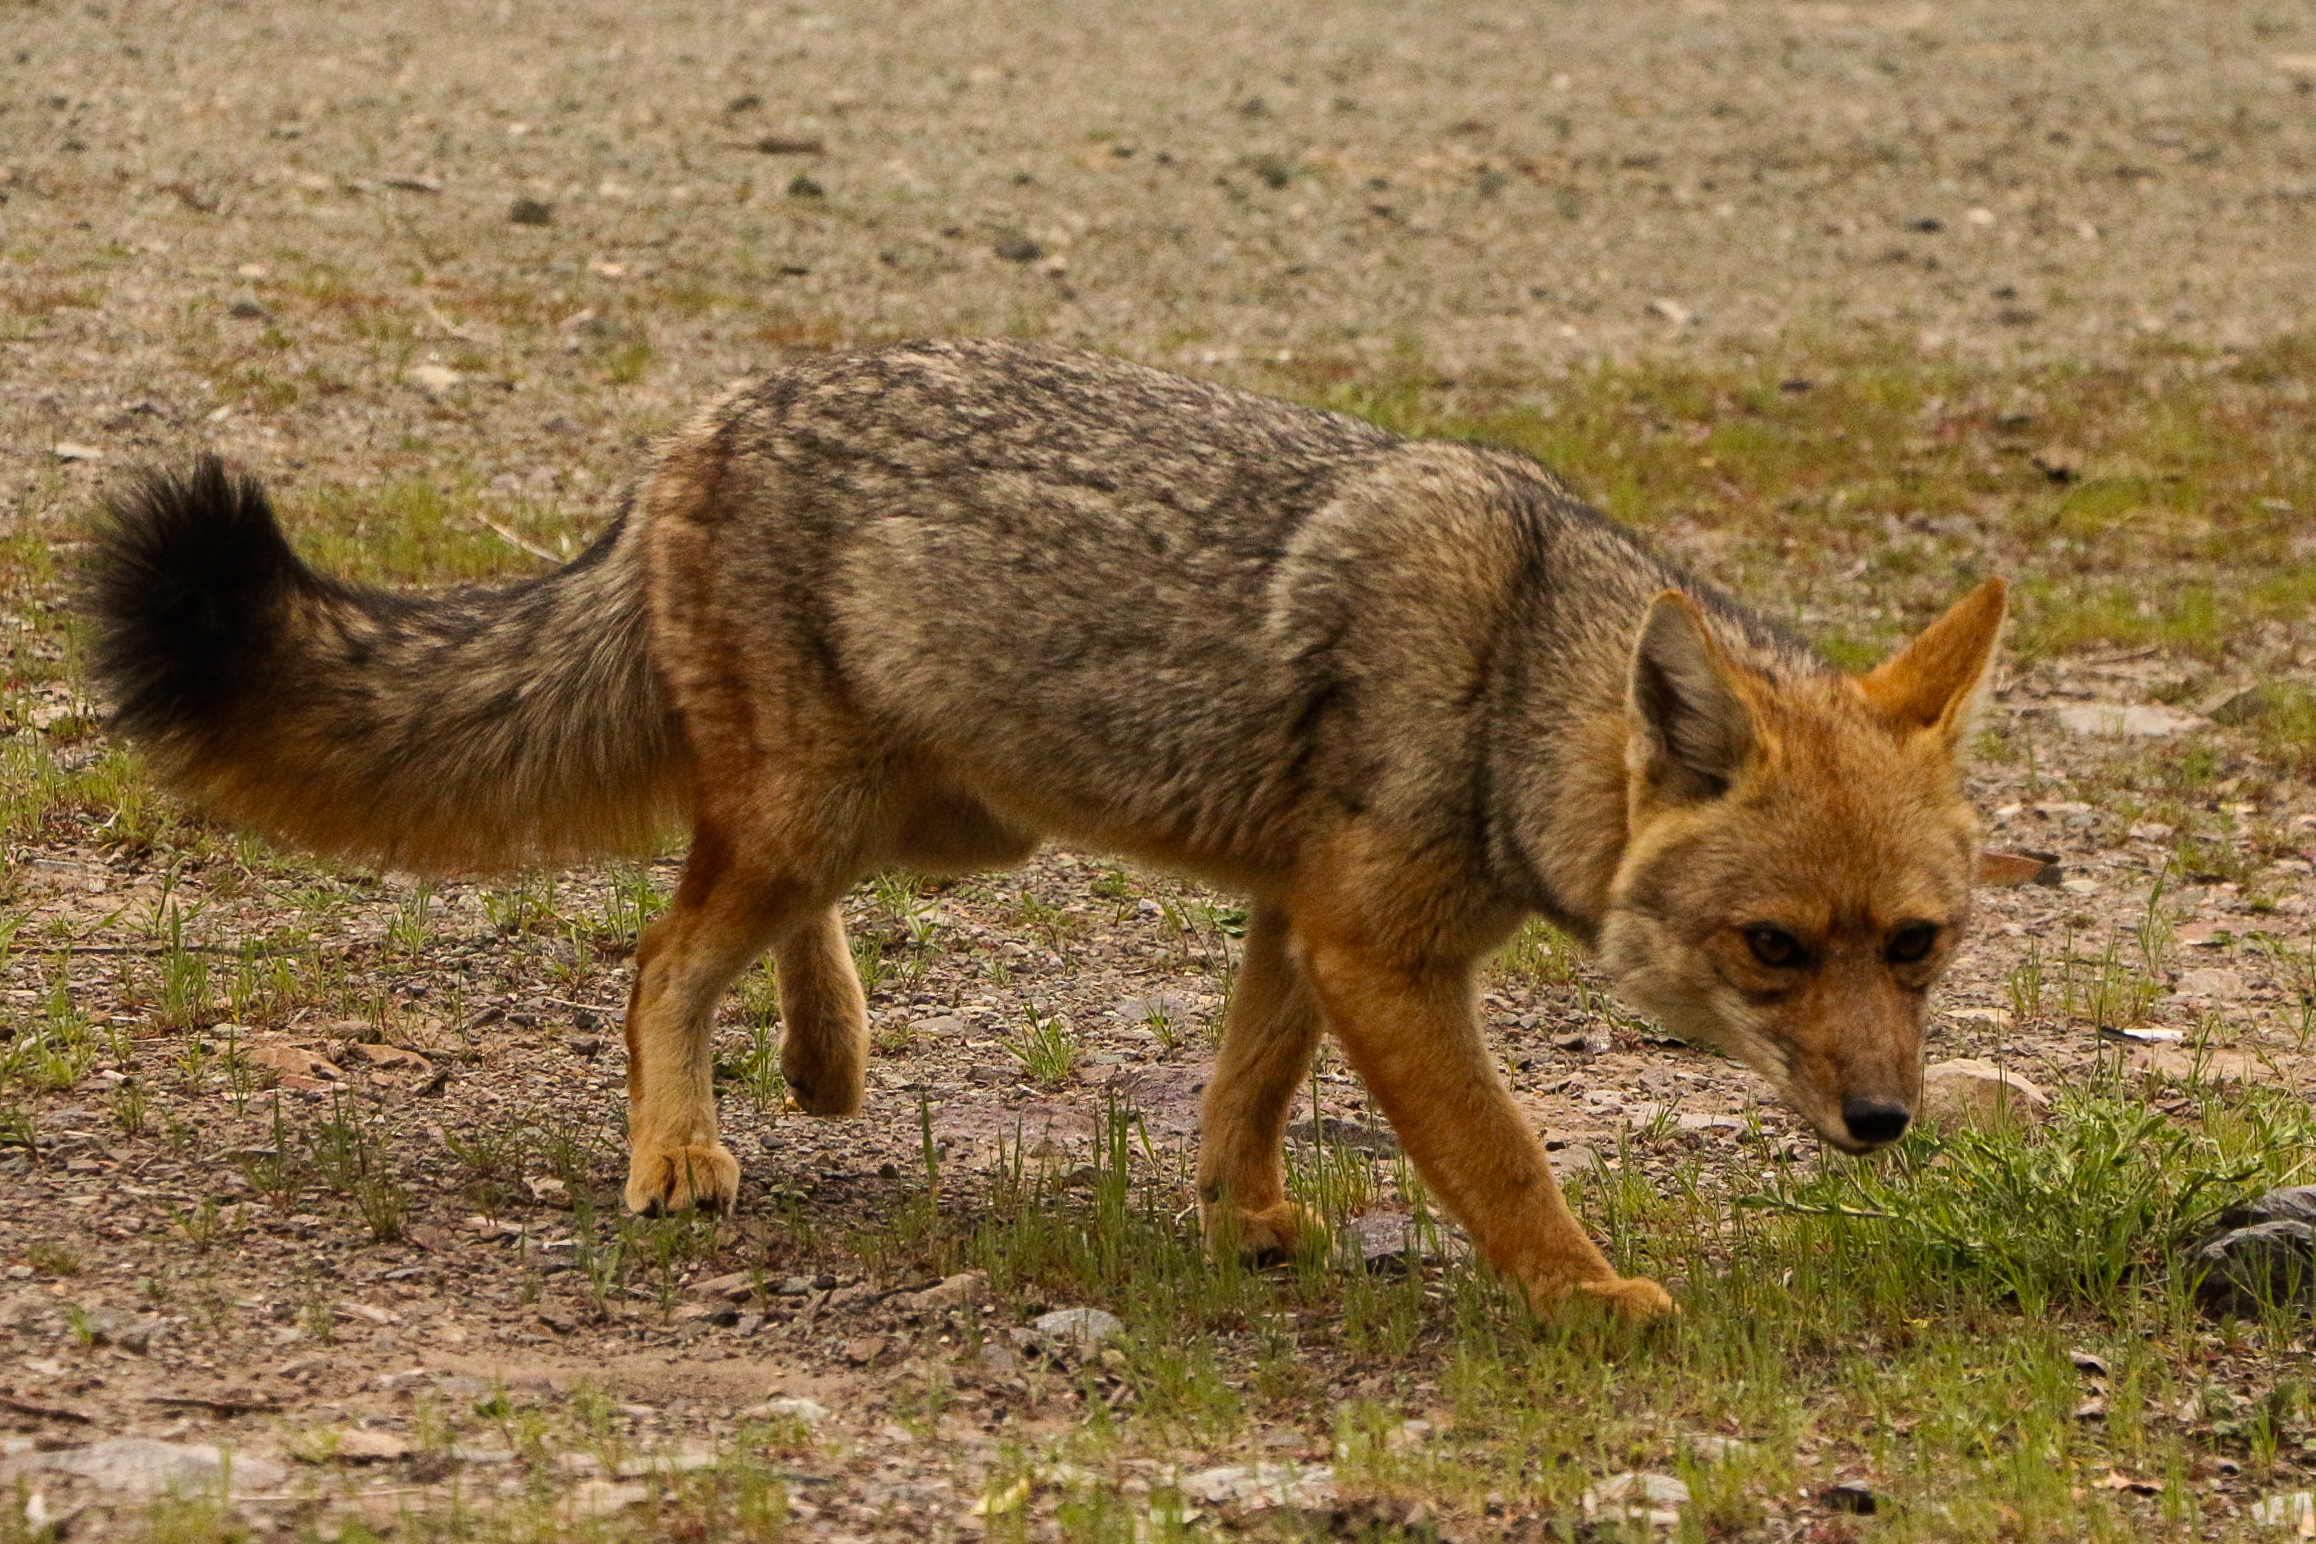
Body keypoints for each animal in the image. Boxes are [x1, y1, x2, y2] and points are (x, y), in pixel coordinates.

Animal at [84, 338, 2005, 1320]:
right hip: (838, 811)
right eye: (1773, 949)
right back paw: (683, 1144)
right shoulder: (1379, 952)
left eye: (1916, 947)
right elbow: (1502, 1158)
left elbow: (1244, 1092)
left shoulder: (1304, 925)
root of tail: (697, 425)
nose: (1886, 1123)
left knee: (737, 906)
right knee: (658, 958)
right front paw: (1591, 1299)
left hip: (932, 821)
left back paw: (826, 1054)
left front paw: (1243, 1219)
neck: (1508, 679)